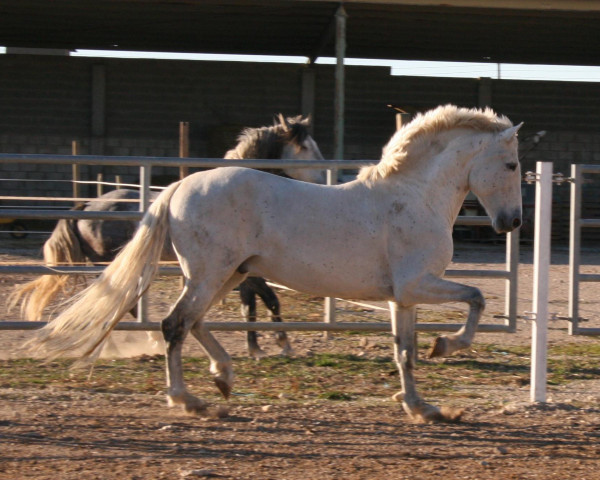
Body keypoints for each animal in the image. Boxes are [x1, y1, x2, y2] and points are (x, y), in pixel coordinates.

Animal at [30, 104, 524, 420]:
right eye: (513, 165)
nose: (512, 222)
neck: (414, 196)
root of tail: (177, 187)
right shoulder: (419, 284)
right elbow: (476, 299)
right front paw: (446, 346)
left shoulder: (400, 298)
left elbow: (404, 351)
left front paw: (422, 408)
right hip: (212, 275)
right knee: (175, 324)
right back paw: (188, 400)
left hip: (227, 275)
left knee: (193, 322)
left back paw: (223, 377)